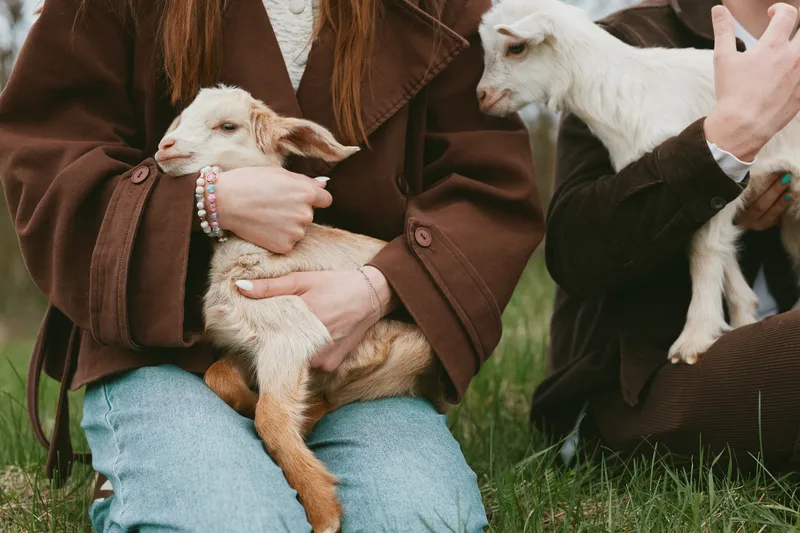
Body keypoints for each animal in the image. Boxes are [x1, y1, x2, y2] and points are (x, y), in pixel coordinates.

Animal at [155, 86, 444, 533]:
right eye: (180, 120)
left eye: (227, 126)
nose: (164, 147)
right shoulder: (244, 345)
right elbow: (218, 375)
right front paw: (246, 401)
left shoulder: (291, 332)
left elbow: (271, 418)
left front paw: (322, 510)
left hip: (407, 358)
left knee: (335, 398)